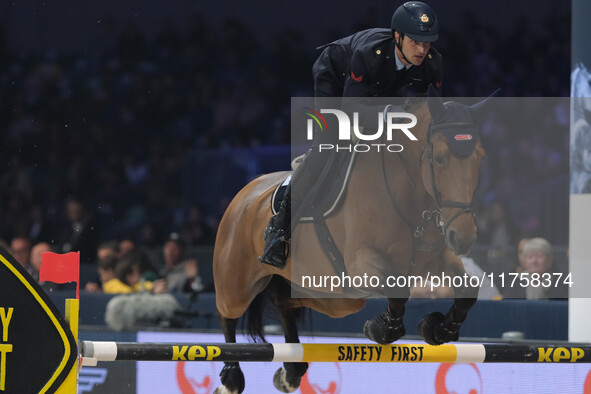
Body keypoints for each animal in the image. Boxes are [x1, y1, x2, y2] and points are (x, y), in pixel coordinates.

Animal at [212, 89, 494, 394]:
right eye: (440, 158)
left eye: (481, 158)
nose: (464, 237)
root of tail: (247, 191)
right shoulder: (362, 264)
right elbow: (398, 289)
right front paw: (383, 328)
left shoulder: (436, 261)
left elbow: (468, 290)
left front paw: (438, 329)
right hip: (237, 284)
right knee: (227, 312)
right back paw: (231, 378)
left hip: (334, 296)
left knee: (285, 302)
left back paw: (291, 372)